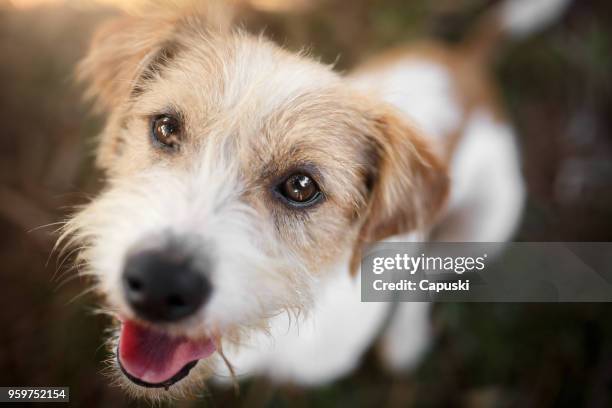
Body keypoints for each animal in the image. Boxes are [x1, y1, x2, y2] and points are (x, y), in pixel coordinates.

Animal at [57, 0, 568, 402]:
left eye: (302, 186)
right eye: (165, 128)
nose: (160, 284)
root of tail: (465, 63)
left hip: (485, 226)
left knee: (432, 275)